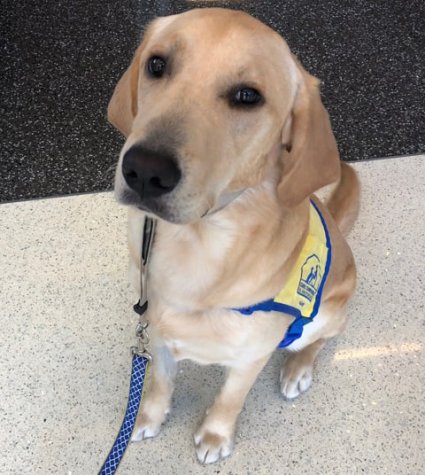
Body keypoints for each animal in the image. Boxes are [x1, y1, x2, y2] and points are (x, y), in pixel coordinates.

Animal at [107, 6, 360, 464]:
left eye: (247, 96)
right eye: (157, 65)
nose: (145, 170)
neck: (196, 244)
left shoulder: (250, 356)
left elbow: (229, 399)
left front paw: (214, 436)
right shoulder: (159, 335)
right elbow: (157, 383)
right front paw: (147, 417)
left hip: (326, 315)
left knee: (320, 339)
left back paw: (298, 369)